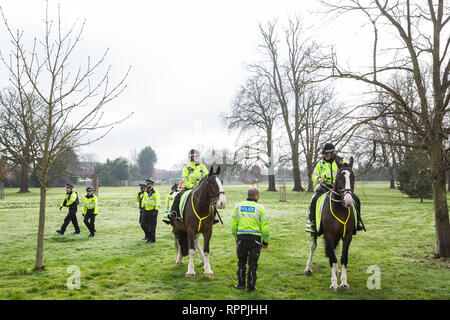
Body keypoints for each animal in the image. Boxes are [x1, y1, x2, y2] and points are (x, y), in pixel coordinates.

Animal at [304, 156, 356, 292]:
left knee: (335, 249)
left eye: (353, 176)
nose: (348, 201)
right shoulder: (329, 235)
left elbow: (343, 257)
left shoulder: (347, 235)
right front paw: (334, 284)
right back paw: (308, 269)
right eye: (339, 176)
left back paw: (337, 271)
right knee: (313, 247)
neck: (339, 208)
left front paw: (344, 282)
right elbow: (332, 258)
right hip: (315, 232)